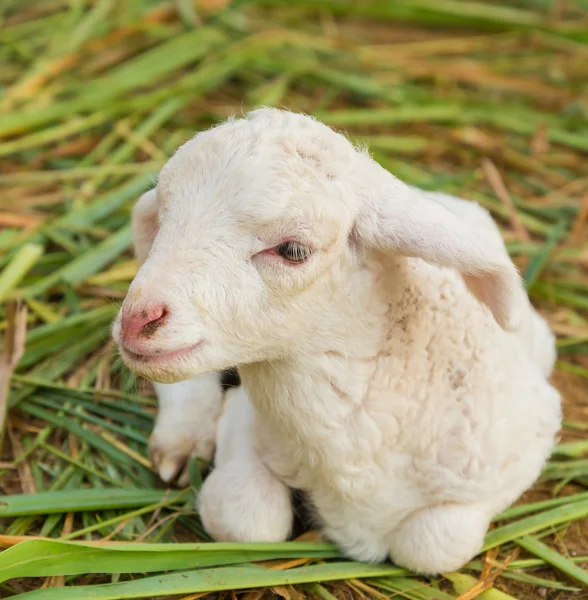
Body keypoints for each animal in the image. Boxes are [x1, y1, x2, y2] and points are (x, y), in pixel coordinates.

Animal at [111, 109, 560, 576]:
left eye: (292, 249)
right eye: (163, 218)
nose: (138, 319)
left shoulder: (527, 443)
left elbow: (434, 544)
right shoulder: (245, 422)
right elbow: (247, 518)